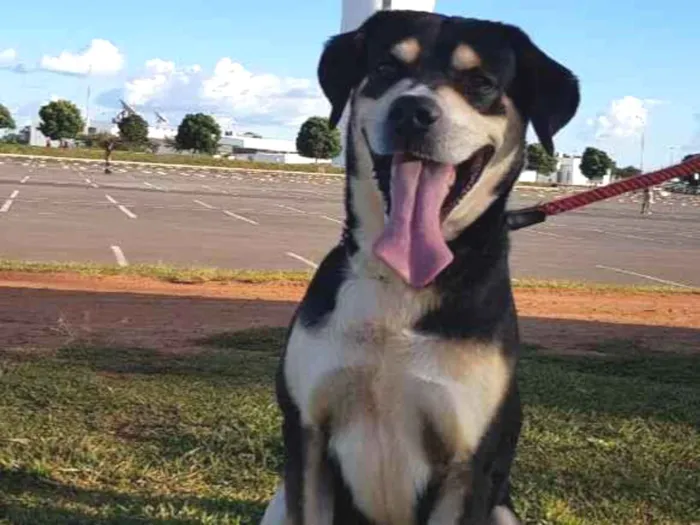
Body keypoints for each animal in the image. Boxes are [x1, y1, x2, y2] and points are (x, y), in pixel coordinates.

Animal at [262, 9, 580, 524]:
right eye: (386, 69)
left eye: (480, 82)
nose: (411, 111)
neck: (400, 282)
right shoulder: (307, 433)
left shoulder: (469, 464)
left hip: (503, 511)